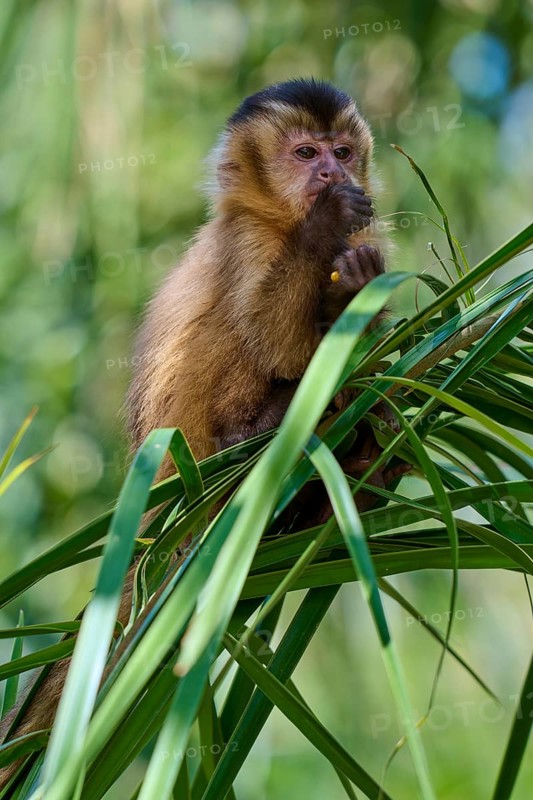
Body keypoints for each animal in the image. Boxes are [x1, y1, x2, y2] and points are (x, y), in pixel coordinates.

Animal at [0, 78, 405, 787]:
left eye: (343, 151)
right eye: (306, 154)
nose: (332, 174)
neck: (278, 219)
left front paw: (353, 294)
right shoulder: (247, 239)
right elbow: (274, 340)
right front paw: (326, 236)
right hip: (189, 445)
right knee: (232, 331)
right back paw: (264, 426)